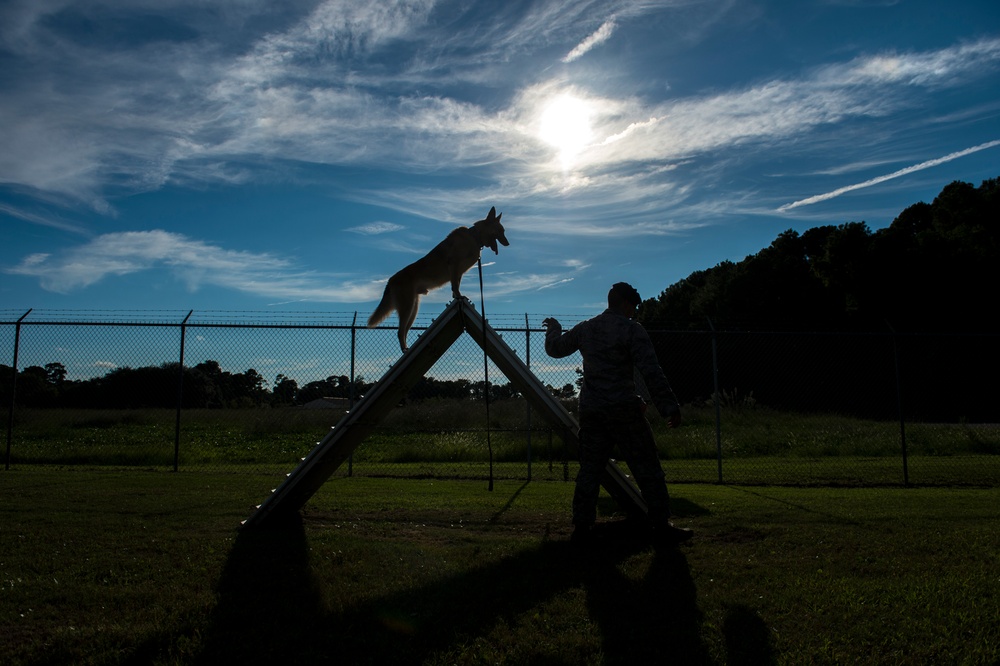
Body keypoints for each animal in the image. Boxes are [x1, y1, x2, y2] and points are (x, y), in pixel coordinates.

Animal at [368, 206, 508, 352]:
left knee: (404, 330)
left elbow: (455, 285)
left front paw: (456, 296)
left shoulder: (458, 272)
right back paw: (405, 349)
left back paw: (406, 348)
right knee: (400, 331)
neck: (474, 237)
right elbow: (455, 286)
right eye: (500, 231)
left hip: (413, 309)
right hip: (407, 307)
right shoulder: (454, 265)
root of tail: (390, 280)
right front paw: (459, 296)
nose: (508, 243)